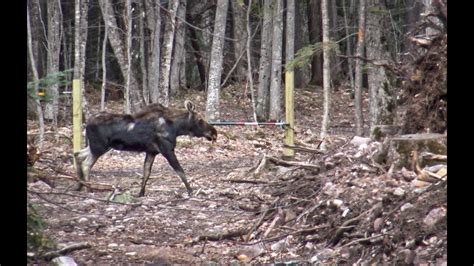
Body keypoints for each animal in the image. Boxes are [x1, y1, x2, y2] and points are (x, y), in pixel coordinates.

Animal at [74, 100, 218, 195]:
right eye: (199, 119)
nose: (214, 132)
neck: (177, 128)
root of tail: (86, 124)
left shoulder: (151, 151)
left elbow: (146, 173)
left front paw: (141, 193)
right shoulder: (167, 150)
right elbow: (180, 171)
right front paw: (190, 190)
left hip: (96, 146)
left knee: (78, 154)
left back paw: (79, 185)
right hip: (99, 147)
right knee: (86, 163)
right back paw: (88, 188)